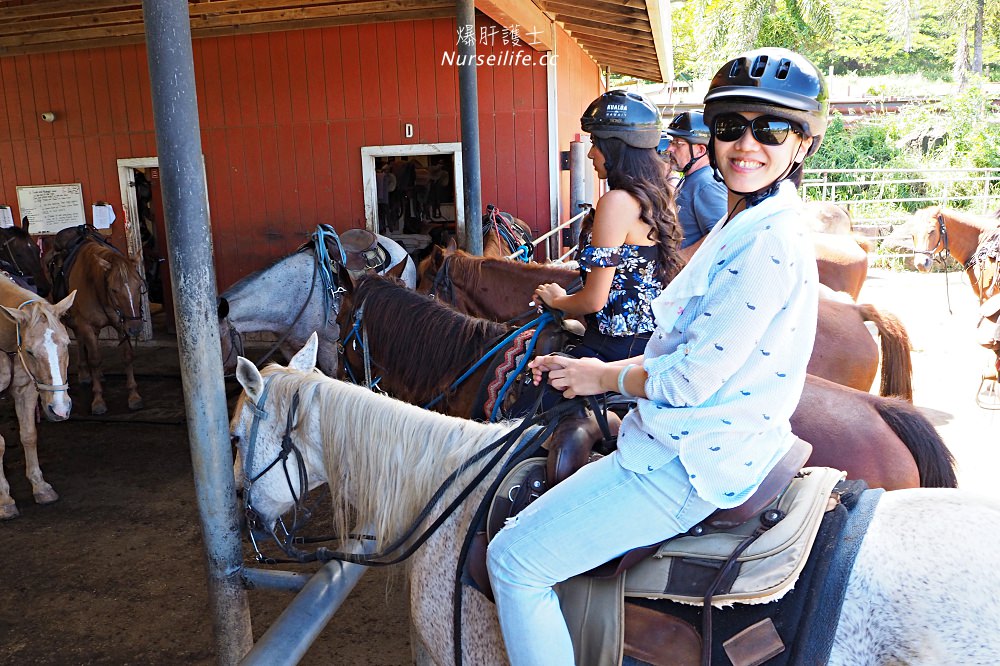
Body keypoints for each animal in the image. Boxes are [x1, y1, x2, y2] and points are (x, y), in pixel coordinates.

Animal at [0, 278, 76, 520]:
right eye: (30, 352)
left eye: (67, 344)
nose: (61, 409)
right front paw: (5, 500)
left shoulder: (26, 389)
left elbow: (29, 436)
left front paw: (40, 487)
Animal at [44, 230, 146, 416]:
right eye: (114, 289)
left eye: (139, 286)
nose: (135, 328)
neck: (96, 286)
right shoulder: (86, 325)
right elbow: (94, 359)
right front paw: (98, 401)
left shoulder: (121, 324)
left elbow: (127, 356)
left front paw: (134, 396)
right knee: (79, 340)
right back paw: (85, 374)